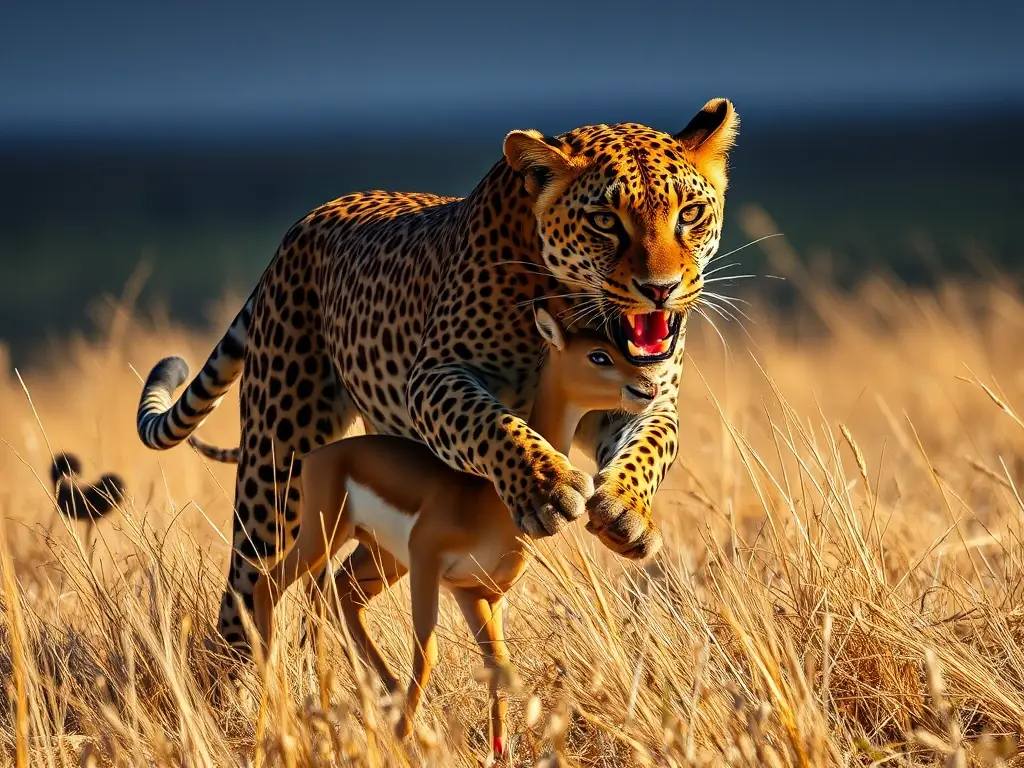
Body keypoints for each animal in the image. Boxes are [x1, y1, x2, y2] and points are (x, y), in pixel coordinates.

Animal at [135, 98, 739, 656]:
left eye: (689, 213)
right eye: (606, 222)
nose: (659, 288)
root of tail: (304, 222)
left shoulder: (646, 396)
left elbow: (650, 445)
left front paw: (625, 511)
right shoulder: (434, 377)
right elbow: (493, 423)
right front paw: (546, 487)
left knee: (334, 584)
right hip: (277, 456)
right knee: (248, 586)